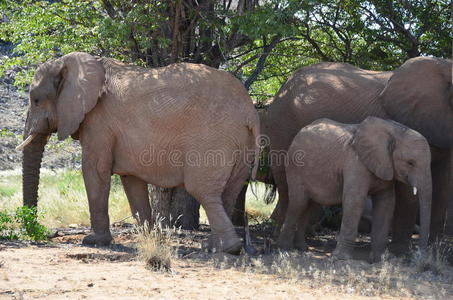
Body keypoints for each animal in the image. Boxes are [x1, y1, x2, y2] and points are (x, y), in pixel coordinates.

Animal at [19, 51, 260, 253]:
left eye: (36, 100)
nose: (40, 232)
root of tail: (250, 111)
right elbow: (131, 181)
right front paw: (150, 237)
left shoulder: (98, 121)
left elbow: (94, 171)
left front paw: (94, 241)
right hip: (241, 142)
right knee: (229, 192)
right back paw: (214, 245)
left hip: (213, 138)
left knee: (203, 190)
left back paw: (226, 249)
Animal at [278, 116, 432, 262]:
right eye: (410, 163)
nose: (418, 257)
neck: (394, 130)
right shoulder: (355, 162)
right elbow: (355, 201)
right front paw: (341, 258)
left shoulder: (385, 166)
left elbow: (386, 204)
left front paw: (379, 259)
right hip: (294, 167)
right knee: (299, 203)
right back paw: (285, 249)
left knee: (309, 205)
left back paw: (302, 248)